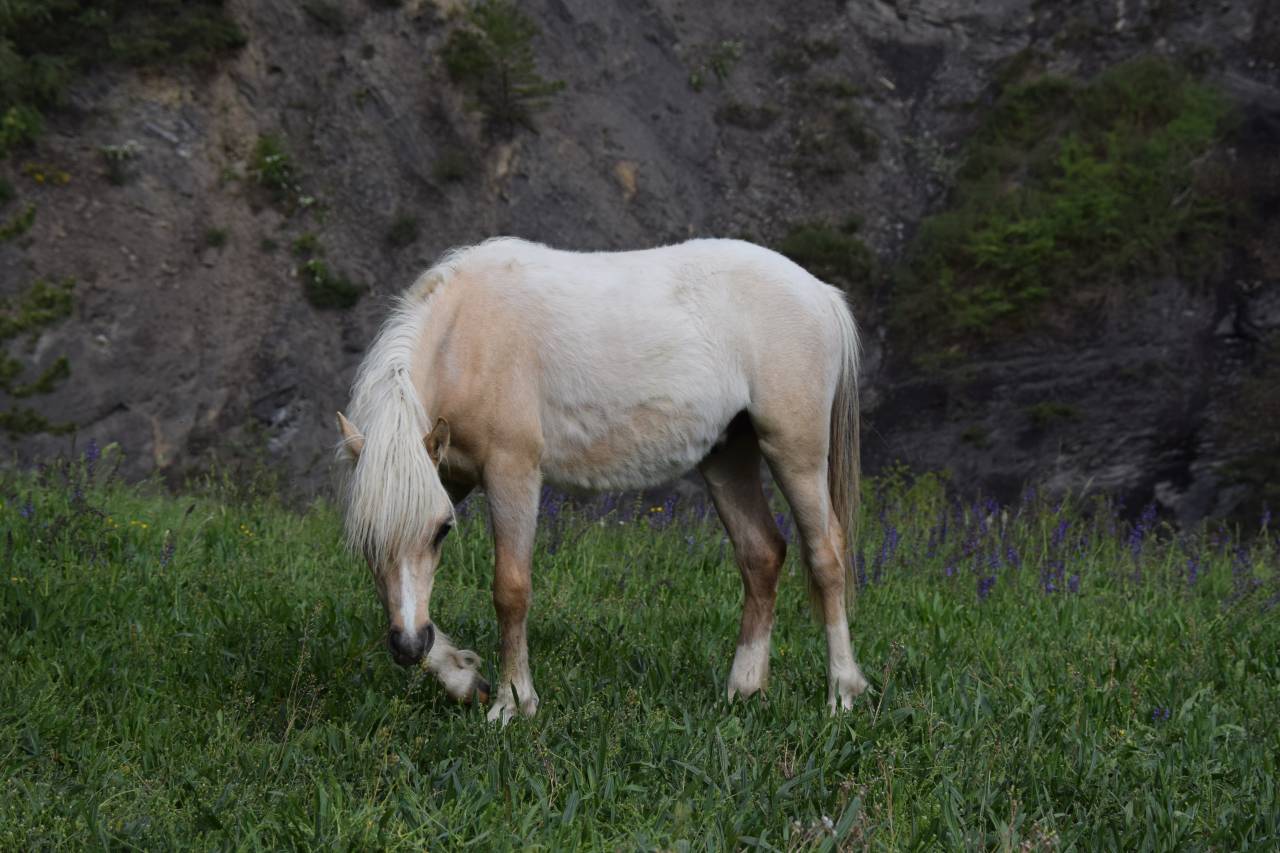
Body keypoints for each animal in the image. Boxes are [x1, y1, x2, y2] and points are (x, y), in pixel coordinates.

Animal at [336, 237, 869, 723]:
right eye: (365, 539)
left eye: (443, 531)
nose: (407, 647)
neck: (467, 337)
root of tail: (820, 294)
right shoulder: (445, 475)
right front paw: (464, 678)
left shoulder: (511, 471)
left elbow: (510, 589)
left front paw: (513, 703)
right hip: (727, 456)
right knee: (761, 555)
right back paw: (744, 688)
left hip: (794, 451)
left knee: (826, 556)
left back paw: (842, 693)